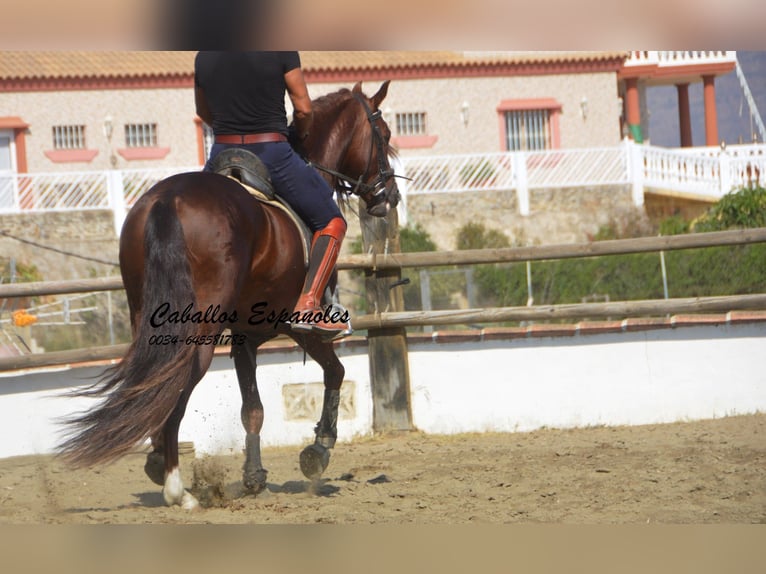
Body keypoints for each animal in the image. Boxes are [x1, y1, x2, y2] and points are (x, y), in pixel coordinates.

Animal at [57, 81, 400, 508]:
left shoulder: (245, 336)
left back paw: (160, 463)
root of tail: (169, 199)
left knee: (152, 380)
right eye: (384, 135)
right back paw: (176, 487)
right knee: (175, 385)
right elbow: (335, 372)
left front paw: (254, 476)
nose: (390, 197)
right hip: (199, 330)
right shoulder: (296, 328)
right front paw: (318, 449)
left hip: (147, 316)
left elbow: (252, 408)